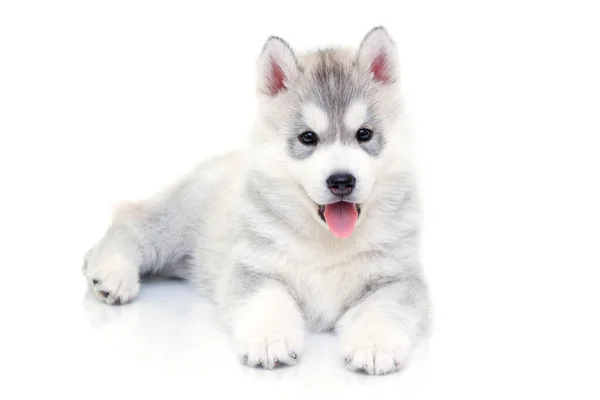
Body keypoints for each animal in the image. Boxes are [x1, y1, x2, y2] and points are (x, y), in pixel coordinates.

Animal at [85, 27, 432, 376]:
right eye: (308, 137)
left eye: (364, 134)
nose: (341, 181)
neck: (327, 243)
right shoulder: (254, 268)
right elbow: (268, 301)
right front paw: (270, 340)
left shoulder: (399, 278)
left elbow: (385, 308)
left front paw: (374, 344)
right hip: (175, 221)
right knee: (131, 220)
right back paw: (111, 273)